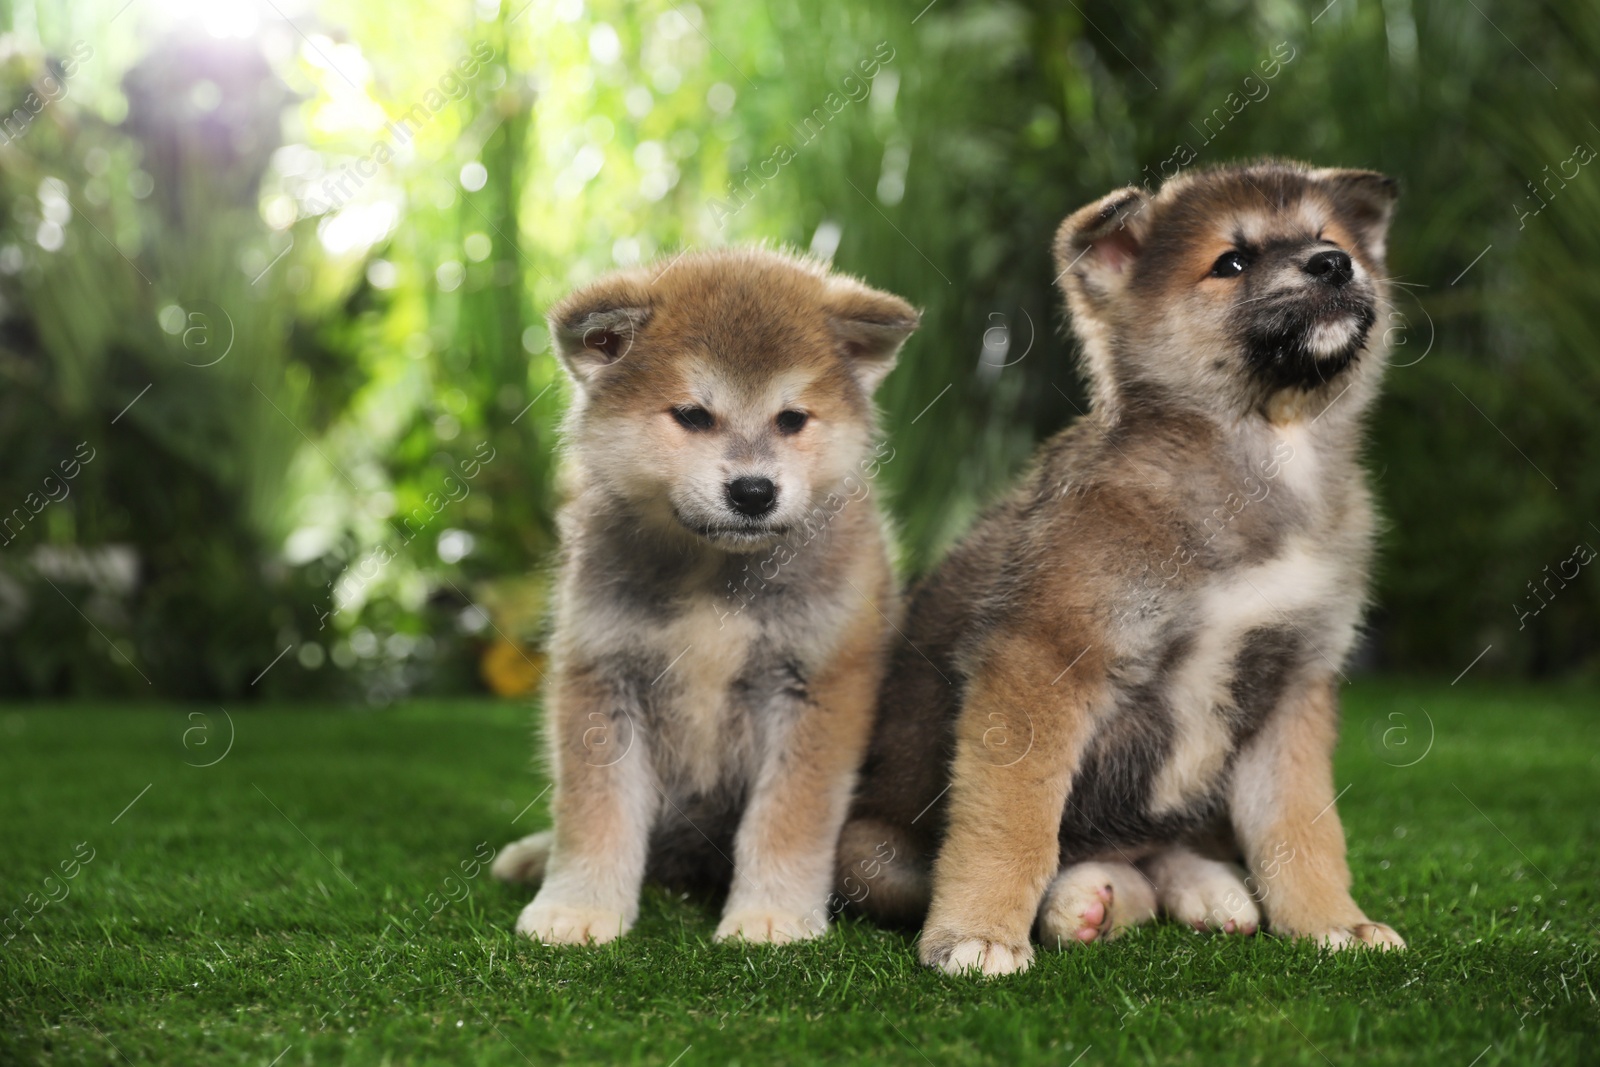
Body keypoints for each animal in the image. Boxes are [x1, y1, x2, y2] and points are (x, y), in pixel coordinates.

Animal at [499, 247, 921, 940]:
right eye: (693, 415)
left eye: (792, 419)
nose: (754, 491)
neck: (714, 575)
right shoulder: (604, 674)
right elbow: (594, 812)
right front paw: (579, 906)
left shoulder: (817, 685)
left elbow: (787, 818)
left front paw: (771, 915)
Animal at [844, 160, 1408, 979]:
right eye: (1231, 262)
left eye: (1328, 239)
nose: (1335, 265)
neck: (1263, 457)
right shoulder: (1039, 667)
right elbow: (1012, 824)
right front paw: (979, 931)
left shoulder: (1291, 691)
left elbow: (1303, 830)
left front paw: (1333, 921)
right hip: (870, 854)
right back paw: (1082, 899)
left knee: (1159, 855)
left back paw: (1200, 891)